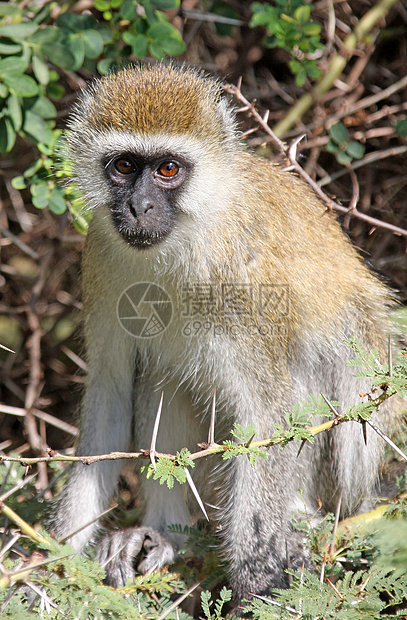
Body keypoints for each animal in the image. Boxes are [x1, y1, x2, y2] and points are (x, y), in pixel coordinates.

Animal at [54, 64, 392, 600]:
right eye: (124, 166)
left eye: (168, 169)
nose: (139, 207)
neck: (184, 241)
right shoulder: (100, 258)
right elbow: (110, 397)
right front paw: (49, 566)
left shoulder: (245, 283)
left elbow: (268, 416)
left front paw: (258, 580)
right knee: (162, 376)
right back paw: (166, 535)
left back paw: (299, 525)